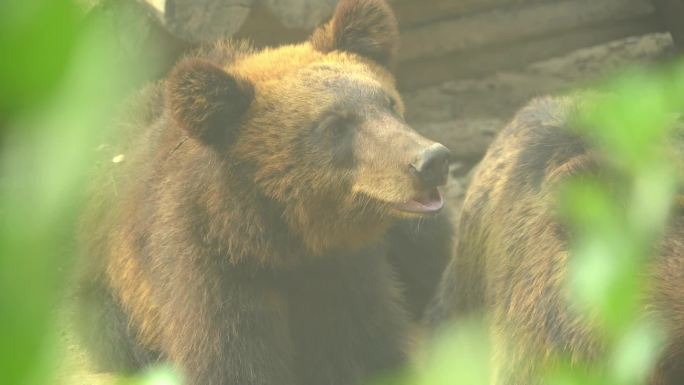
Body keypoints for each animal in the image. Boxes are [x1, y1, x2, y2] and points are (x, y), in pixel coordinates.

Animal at [75, 0, 452, 384]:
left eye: (389, 102)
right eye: (334, 126)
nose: (430, 160)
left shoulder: (348, 273)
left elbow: (364, 348)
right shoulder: (210, 271)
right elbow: (230, 360)